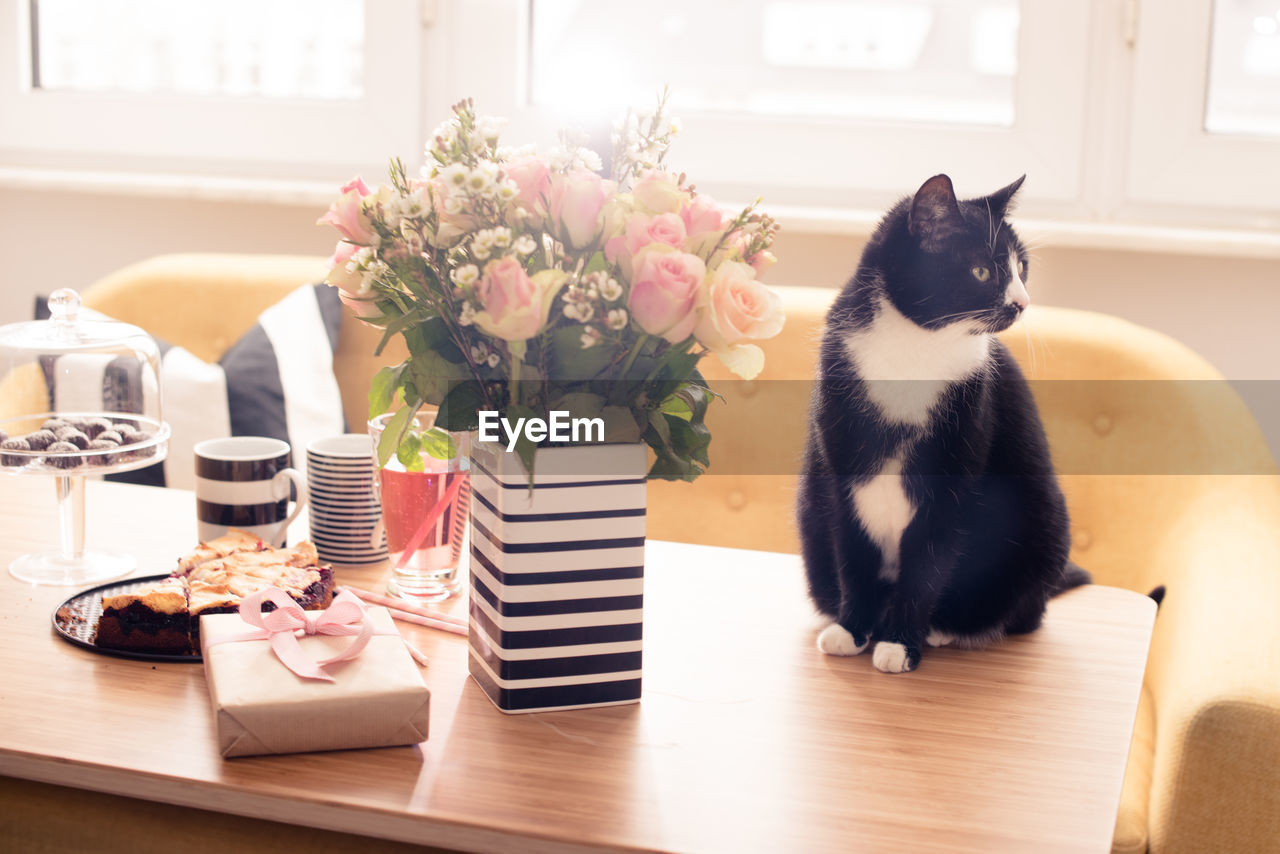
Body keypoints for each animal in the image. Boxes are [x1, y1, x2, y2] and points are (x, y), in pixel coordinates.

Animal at [798, 174, 1090, 676]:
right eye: (981, 272)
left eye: (1022, 267)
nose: (1022, 302)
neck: (916, 350)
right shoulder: (840, 472)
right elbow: (853, 554)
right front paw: (852, 630)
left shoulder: (956, 473)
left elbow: (928, 565)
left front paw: (900, 644)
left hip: (1042, 531)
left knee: (1021, 614)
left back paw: (944, 629)